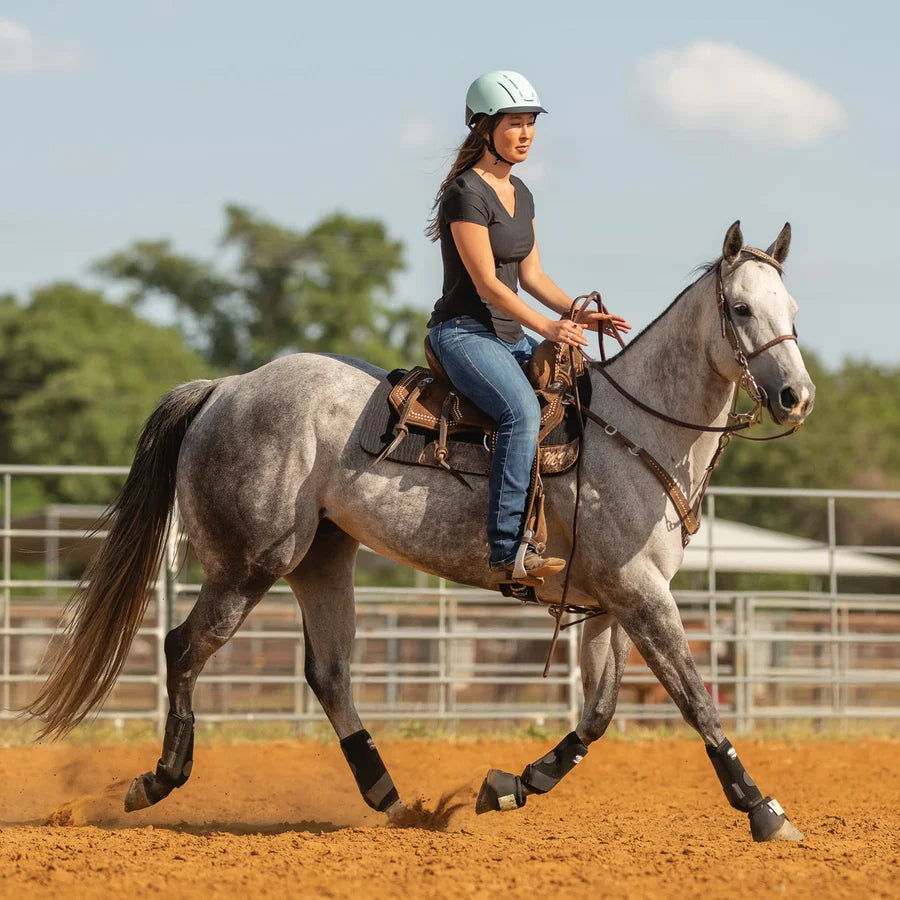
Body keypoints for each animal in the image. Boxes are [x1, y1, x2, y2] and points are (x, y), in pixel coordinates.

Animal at [27, 221, 814, 842]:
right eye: (740, 307)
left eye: (793, 309)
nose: (795, 396)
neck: (634, 434)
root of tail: (225, 387)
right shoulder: (641, 594)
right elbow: (693, 697)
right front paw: (763, 809)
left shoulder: (610, 603)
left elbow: (597, 714)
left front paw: (510, 785)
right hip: (248, 564)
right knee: (185, 648)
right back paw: (157, 779)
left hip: (322, 558)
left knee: (328, 673)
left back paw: (391, 798)